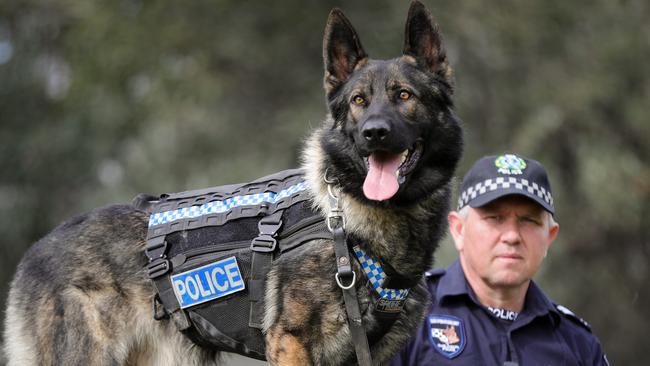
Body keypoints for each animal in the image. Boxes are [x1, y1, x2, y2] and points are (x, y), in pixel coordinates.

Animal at [3, 1, 460, 364]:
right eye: (358, 101)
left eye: (404, 96)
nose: (374, 133)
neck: (347, 221)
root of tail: (35, 251)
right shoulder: (290, 343)